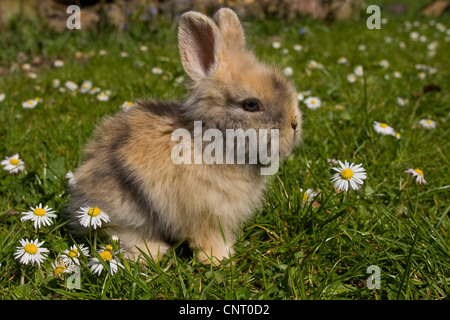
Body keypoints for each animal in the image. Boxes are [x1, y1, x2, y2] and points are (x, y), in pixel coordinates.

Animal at [64, 7, 302, 264]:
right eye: (251, 104)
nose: (294, 125)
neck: (211, 139)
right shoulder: (205, 213)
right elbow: (208, 238)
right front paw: (219, 259)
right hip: (124, 210)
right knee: (120, 235)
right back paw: (155, 252)